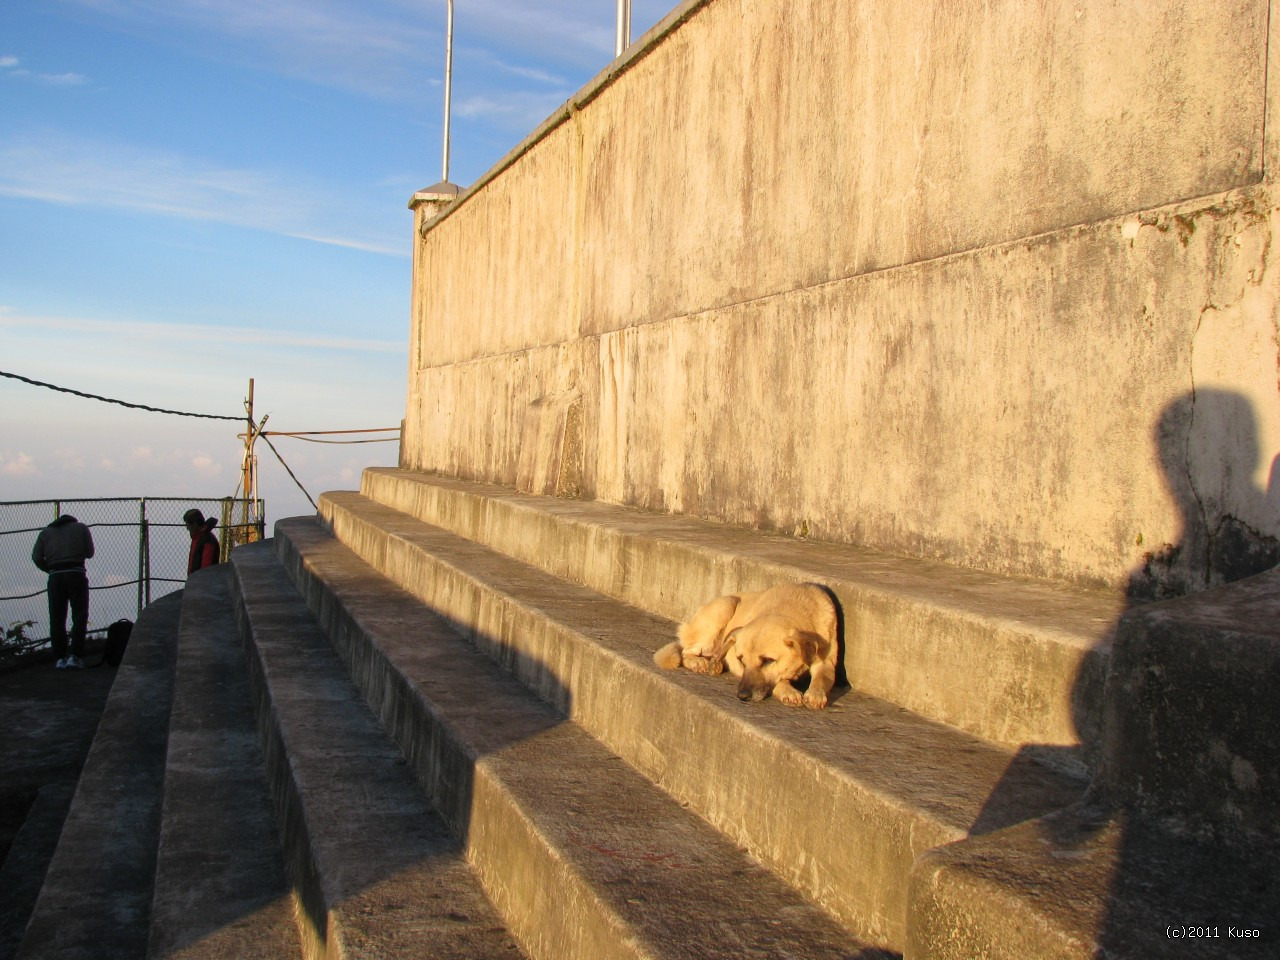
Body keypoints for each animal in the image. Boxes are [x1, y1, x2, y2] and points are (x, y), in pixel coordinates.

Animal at [660, 583, 839, 711]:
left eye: (768, 660)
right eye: (741, 660)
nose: (742, 696)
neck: (791, 608)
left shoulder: (826, 663)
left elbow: (821, 678)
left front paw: (815, 694)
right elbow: (779, 680)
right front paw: (787, 690)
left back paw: (715, 664)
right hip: (725, 606)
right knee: (686, 651)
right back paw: (698, 662)